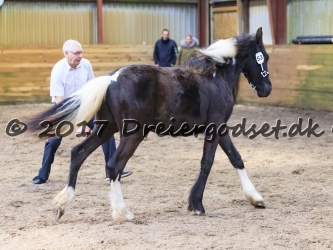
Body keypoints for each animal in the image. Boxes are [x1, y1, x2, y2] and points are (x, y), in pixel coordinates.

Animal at [28, 28, 272, 222]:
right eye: (264, 56)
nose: (266, 88)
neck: (215, 77)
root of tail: (111, 78)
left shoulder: (219, 129)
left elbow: (235, 157)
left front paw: (256, 199)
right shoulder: (216, 127)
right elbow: (208, 163)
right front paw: (197, 205)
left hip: (105, 129)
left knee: (78, 153)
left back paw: (61, 205)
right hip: (132, 134)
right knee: (114, 166)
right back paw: (123, 212)